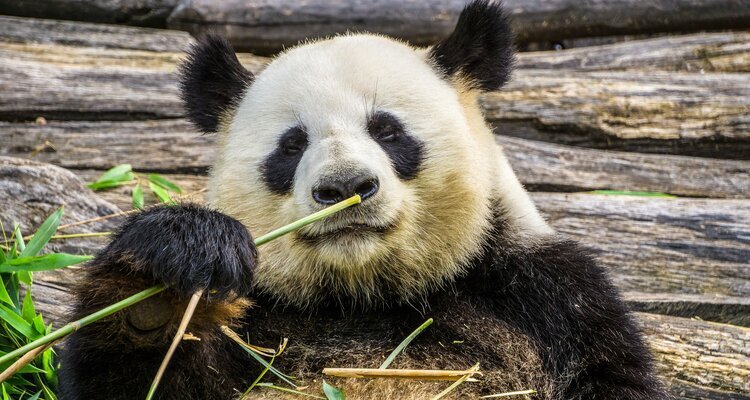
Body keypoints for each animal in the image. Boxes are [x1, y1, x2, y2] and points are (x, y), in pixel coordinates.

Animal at [59, 1, 667, 399]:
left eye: (388, 131)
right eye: (292, 144)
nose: (344, 188)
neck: (363, 296)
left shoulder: (546, 301)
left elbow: (609, 372)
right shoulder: (261, 323)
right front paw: (165, 282)